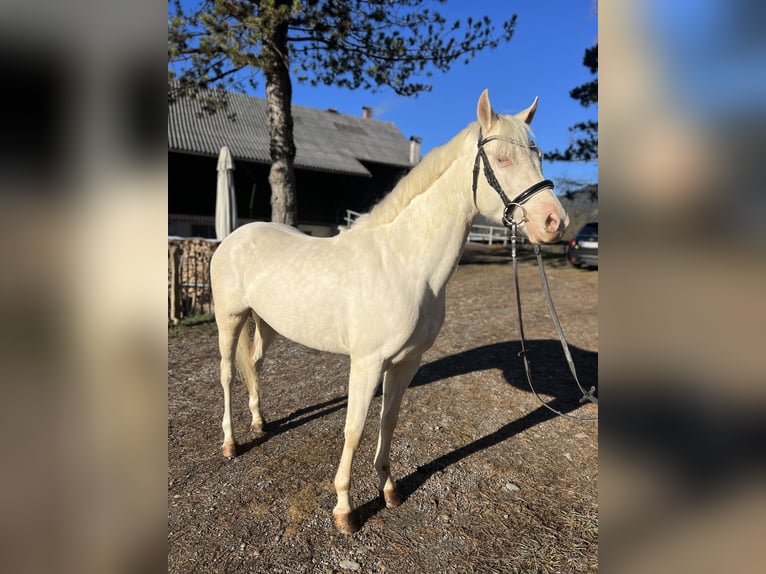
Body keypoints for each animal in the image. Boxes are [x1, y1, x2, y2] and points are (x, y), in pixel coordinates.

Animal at [212, 90, 568, 536]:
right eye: (502, 159)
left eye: (539, 156)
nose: (554, 222)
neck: (404, 263)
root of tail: (235, 237)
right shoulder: (366, 363)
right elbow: (354, 429)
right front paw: (344, 509)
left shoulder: (406, 362)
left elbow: (388, 421)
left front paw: (389, 489)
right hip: (229, 319)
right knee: (228, 374)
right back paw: (231, 443)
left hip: (265, 323)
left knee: (255, 365)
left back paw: (260, 422)